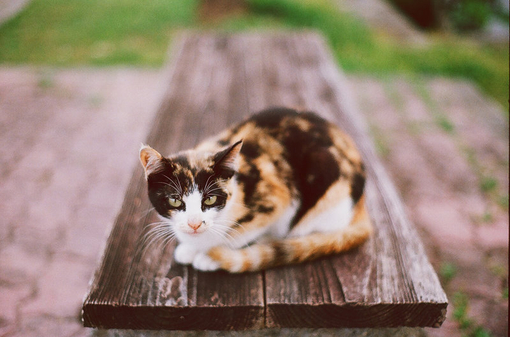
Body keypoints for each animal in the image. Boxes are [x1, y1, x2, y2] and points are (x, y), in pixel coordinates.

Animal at [138, 106, 370, 272]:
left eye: (210, 199)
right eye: (175, 200)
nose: (194, 224)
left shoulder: (278, 197)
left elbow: (239, 235)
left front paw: (210, 255)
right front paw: (191, 248)